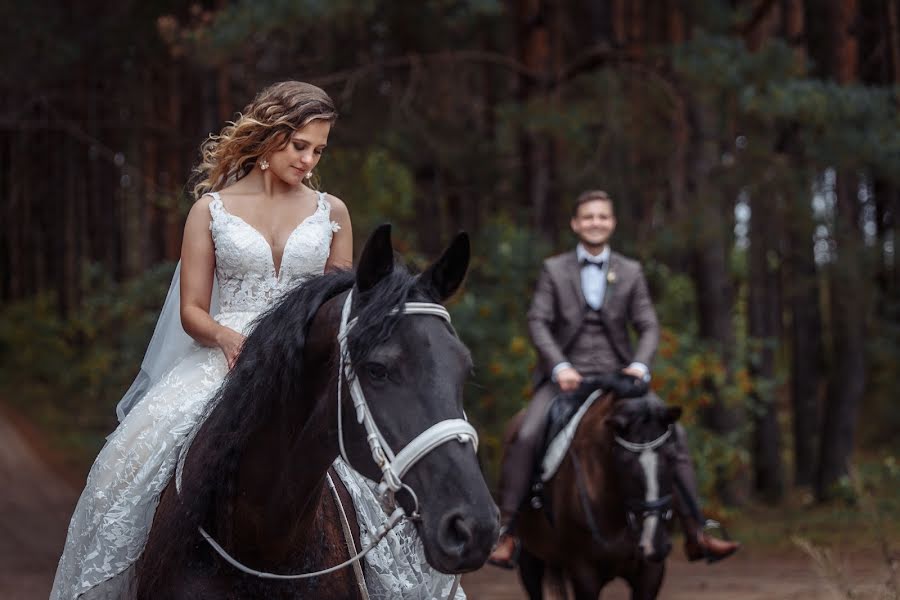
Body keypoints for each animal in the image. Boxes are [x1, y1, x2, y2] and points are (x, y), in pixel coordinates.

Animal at [512, 392, 684, 596]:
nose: (654, 543)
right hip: (530, 555)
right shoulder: (584, 572)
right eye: (625, 461)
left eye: (672, 457)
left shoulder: (650, 573)